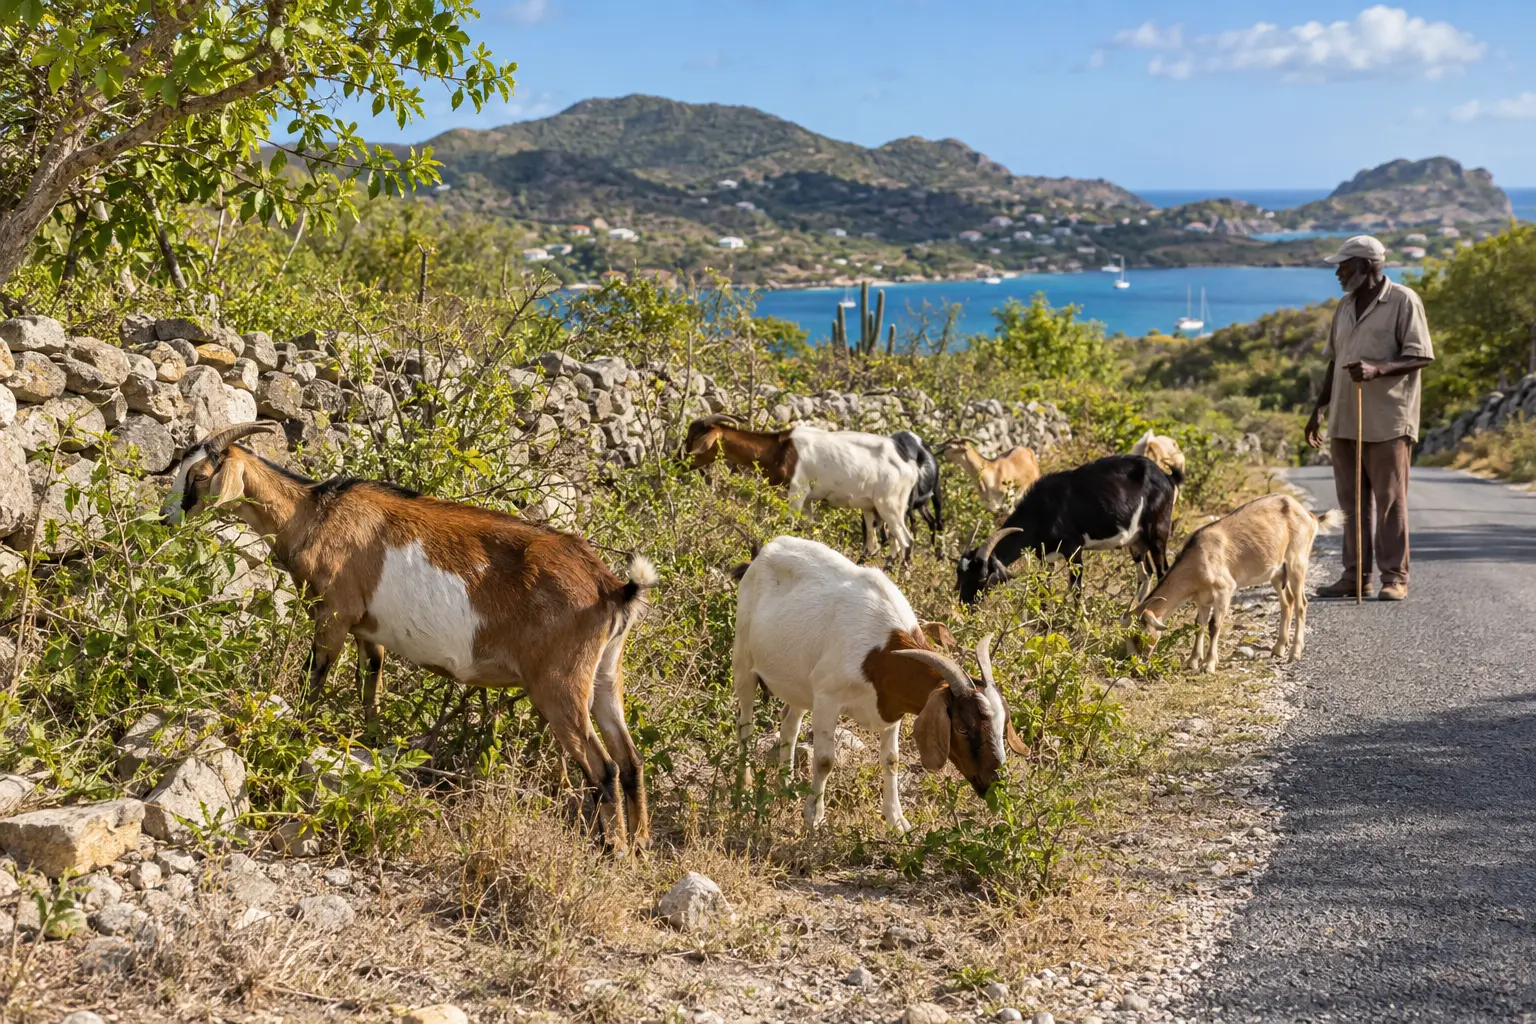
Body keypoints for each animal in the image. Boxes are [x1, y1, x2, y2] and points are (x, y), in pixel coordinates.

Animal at [161, 422, 657, 852]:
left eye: (199, 476)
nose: (166, 518)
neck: (314, 513)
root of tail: (612, 588)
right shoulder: (368, 629)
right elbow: (371, 683)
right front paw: (370, 744)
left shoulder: (334, 614)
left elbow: (315, 680)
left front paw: (296, 736)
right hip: (605, 674)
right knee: (630, 760)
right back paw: (640, 847)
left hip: (560, 684)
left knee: (604, 767)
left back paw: (613, 848)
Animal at [686, 416, 919, 561]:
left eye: (695, 438)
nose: (681, 459)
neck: (780, 449)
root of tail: (910, 466)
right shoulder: (807, 500)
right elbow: (808, 528)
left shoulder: (797, 491)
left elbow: (788, 524)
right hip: (871, 508)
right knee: (880, 545)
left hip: (890, 505)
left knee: (906, 541)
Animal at [732, 535, 1026, 831]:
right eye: (963, 728)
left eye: (1003, 726)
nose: (995, 783)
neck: (882, 653)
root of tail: (765, 552)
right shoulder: (827, 699)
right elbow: (825, 760)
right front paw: (814, 817)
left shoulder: (892, 708)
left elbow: (891, 760)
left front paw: (897, 820)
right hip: (744, 660)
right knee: (745, 724)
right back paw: (743, 790)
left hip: (800, 686)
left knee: (789, 723)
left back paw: (786, 786)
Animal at [956, 454, 1176, 606]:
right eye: (960, 575)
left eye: (982, 577)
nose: (965, 605)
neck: (1042, 509)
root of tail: (1167, 478)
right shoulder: (1046, 556)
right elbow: (1043, 587)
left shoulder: (1073, 548)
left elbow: (1077, 588)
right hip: (1136, 541)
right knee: (1145, 574)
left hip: (1158, 532)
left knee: (1163, 572)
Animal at [1129, 495, 1344, 673]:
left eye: (1139, 636)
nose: (1135, 667)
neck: (1199, 556)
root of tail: (1310, 516)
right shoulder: (1202, 598)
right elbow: (1199, 624)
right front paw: (1192, 661)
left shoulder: (1224, 590)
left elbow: (1214, 625)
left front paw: (1209, 664)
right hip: (1277, 572)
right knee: (1287, 602)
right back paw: (1278, 648)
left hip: (1296, 563)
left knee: (1301, 604)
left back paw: (1295, 652)